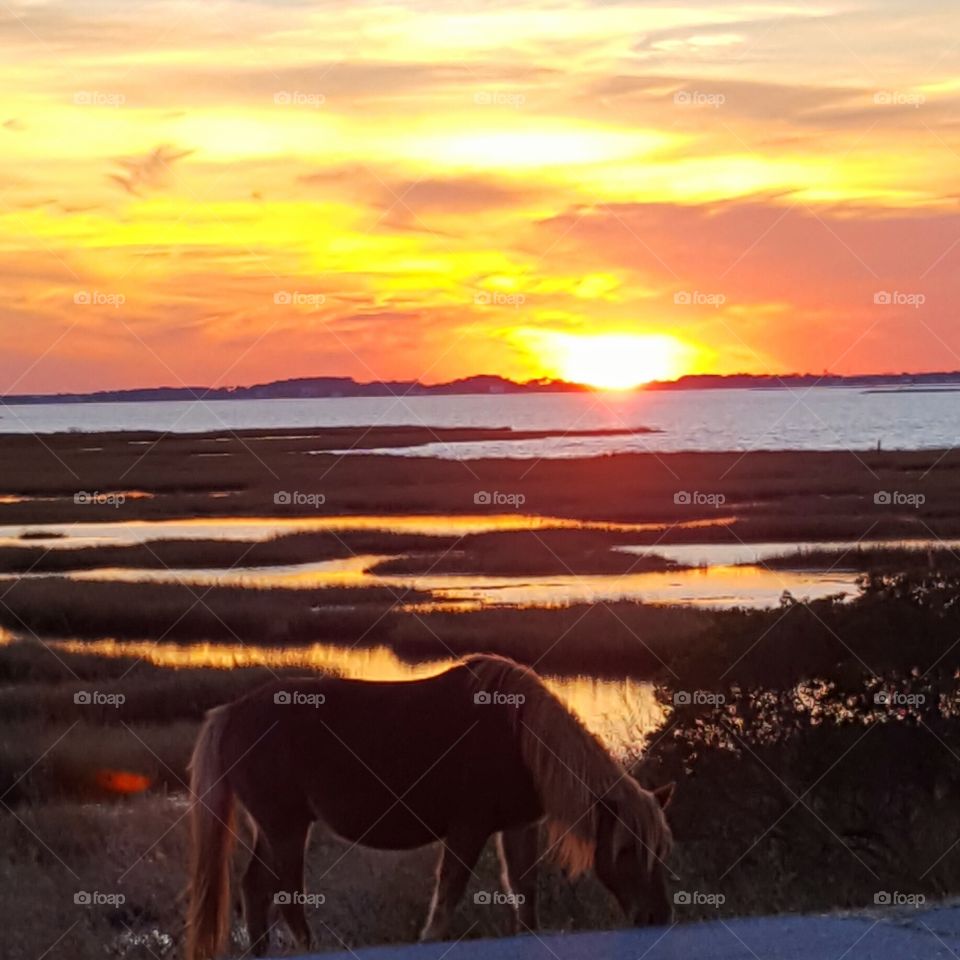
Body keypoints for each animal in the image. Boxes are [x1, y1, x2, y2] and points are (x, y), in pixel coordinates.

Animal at [186, 652, 676, 960]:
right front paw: (430, 939)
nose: (656, 918)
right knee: (284, 894)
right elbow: (450, 892)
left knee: (254, 889)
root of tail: (230, 713)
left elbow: (524, 891)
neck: (519, 736)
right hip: (285, 827)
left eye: (659, 851)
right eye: (626, 850)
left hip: (273, 828)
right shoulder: (469, 829)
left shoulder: (517, 826)